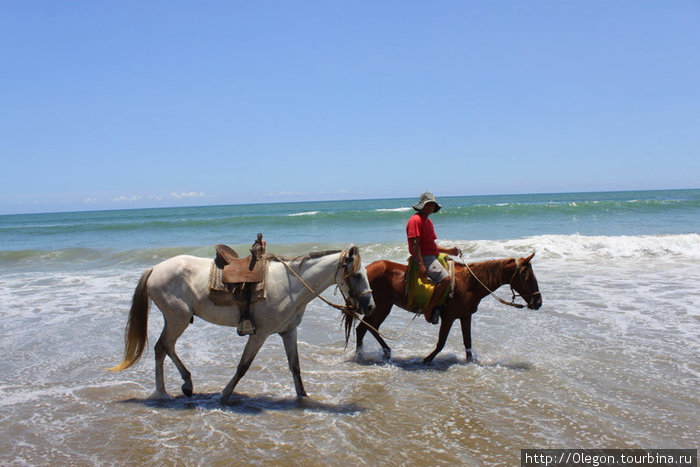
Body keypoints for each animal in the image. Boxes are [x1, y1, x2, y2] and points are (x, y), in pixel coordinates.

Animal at [110, 245, 374, 402]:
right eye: (357, 274)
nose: (370, 306)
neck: (291, 285)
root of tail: (155, 269)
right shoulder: (259, 334)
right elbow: (243, 366)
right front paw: (224, 394)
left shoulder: (288, 331)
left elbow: (295, 367)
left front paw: (303, 397)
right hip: (178, 319)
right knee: (163, 347)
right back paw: (168, 390)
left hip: (175, 319)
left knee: (163, 348)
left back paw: (178, 386)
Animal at [348, 254, 544, 364]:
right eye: (526, 276)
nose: (538, 301)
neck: (469, 283)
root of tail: (366, 270)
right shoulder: (448, 317)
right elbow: (441, 342)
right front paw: (427, 359)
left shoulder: (465, 316)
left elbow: (468, 342)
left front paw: (470, 362)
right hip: (381, 307)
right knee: (367, 328)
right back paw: (378, 353)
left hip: (380, 307)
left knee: (365, 329)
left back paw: (368, 354)